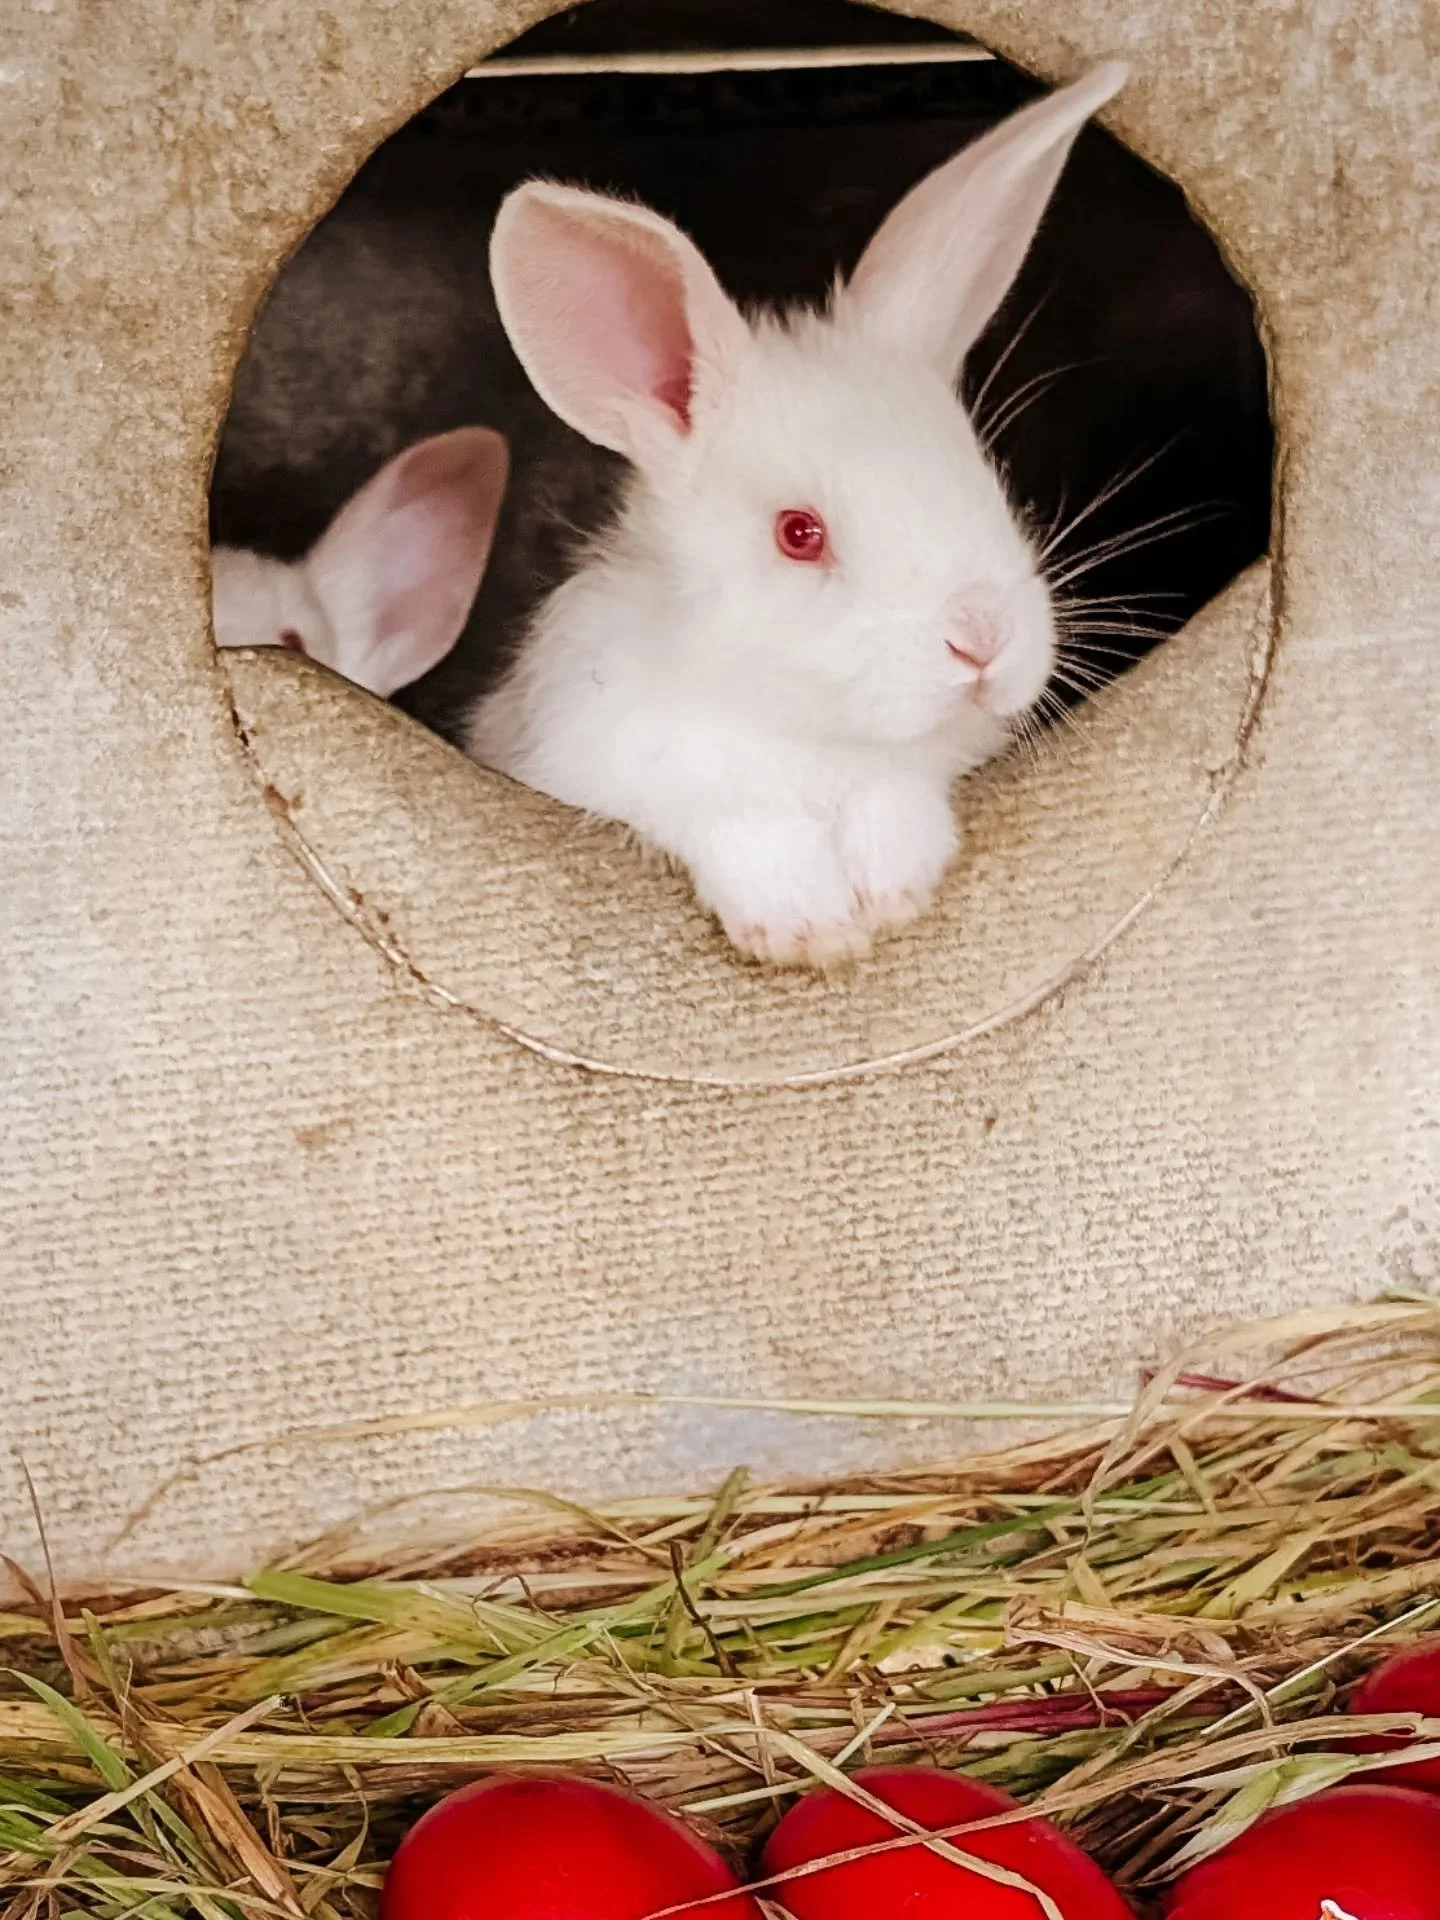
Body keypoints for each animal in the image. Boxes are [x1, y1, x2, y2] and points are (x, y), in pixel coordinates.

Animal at [465, 64, 1128, 969]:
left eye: (983, 474)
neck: (801, 729)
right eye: (798, 534)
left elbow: (896, 797)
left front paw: (891, 893)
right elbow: (742, 827)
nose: (983, 640)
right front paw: (805, 927)